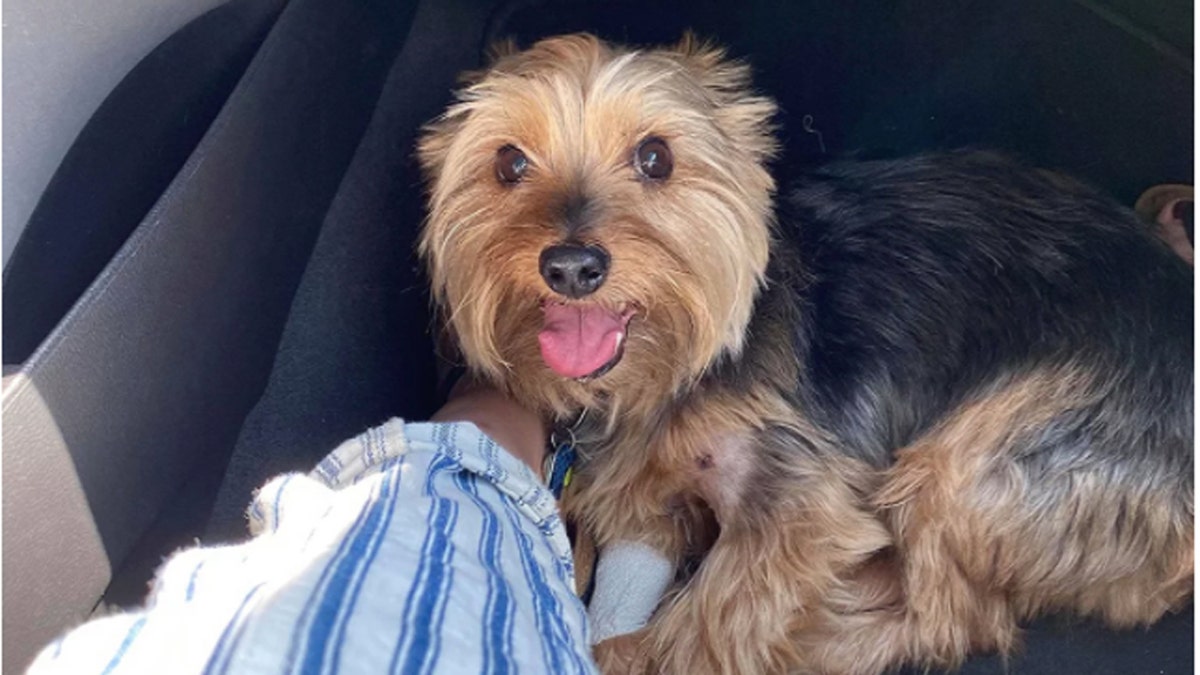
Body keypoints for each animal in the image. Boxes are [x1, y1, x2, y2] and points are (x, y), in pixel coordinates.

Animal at [415, 32, 1190, 672]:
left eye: (655, 157)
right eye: (509, 162)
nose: (572, 266)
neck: (669, 373)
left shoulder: (799, 495)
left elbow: (719, 616)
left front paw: (652, 648)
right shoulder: (647, 488)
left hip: (990, 455)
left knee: (950, 618)